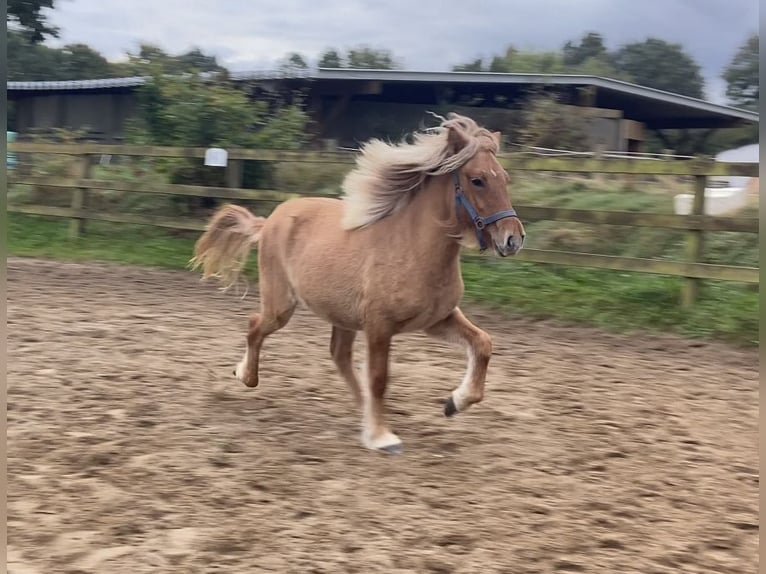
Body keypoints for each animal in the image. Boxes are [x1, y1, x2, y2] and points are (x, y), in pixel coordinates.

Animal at [192, 111, 528, 454]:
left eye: (504, 178)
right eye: (477, 180)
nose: (513, 239)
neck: (413, 249)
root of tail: (272, 218)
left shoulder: (437, 320)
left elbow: (483, 343)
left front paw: (454, 403)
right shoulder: (380, 327)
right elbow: (379, 378)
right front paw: (382, 437)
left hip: (341, 314)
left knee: (338, 355)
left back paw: (361, 409)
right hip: (281, 306)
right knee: (255, 326)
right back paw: (246, 375)